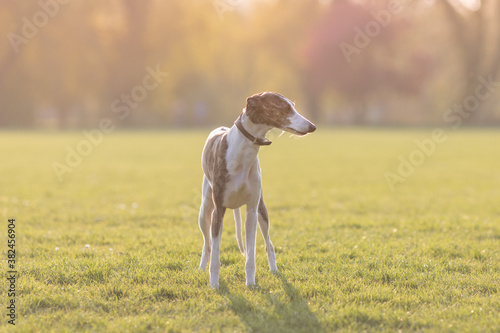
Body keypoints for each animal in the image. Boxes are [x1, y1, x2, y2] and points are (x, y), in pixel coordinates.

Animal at [197, 91, 314, 288]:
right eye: (284, 108)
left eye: (293, 106)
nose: (312, 126)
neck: (243, 152)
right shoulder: (219, 210)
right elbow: (215, 255)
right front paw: (214, 285)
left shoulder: (252, 210)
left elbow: (251, 255)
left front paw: (250, 283)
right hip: (205, 211)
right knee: (207, 245)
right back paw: (201, 269)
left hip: (262, 211)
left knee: (269, 244)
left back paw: (274, 270)